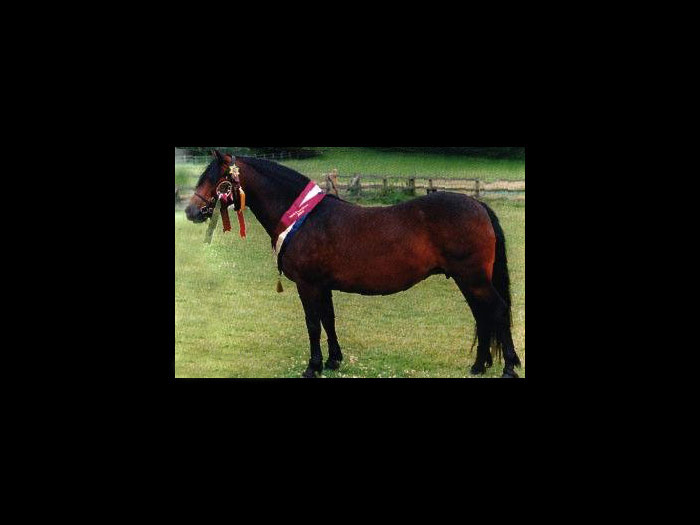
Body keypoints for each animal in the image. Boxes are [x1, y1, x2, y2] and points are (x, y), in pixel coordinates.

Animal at [184, 150, 522, 378]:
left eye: (218, 180)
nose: (191, 211)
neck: (304, 218)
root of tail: (477, 203)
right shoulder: (323, 286)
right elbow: (328, 320)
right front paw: (334, 360)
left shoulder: (308, 285)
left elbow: (312, 323)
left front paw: (313, 366)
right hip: (469, 280)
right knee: (481, 315)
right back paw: (478, 366)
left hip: (473, 278)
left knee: (497, 310)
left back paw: (507, 367)